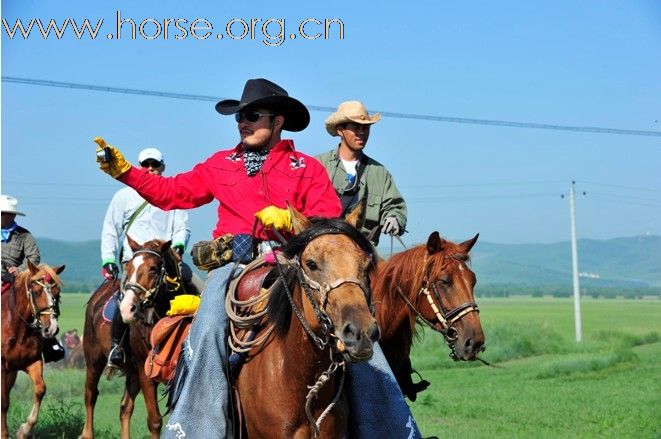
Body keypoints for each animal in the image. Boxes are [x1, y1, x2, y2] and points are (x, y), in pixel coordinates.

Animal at [0, 262, 64, 438]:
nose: (51, 328)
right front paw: (3, 433)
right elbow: (3, 402)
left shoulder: (33, 362)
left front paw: (25, 430)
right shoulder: (1, 367)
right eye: (36, 292)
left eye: (57, 294)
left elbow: (40, 389)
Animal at [79, 239, 183, 438]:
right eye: (128, 267)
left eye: (153, 269)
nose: (127, 308)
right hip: (94, 360)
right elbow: (155, 421)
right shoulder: (145, 372)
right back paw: (87, 433)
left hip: (132, 372)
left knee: (125, 407)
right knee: (90, 395)